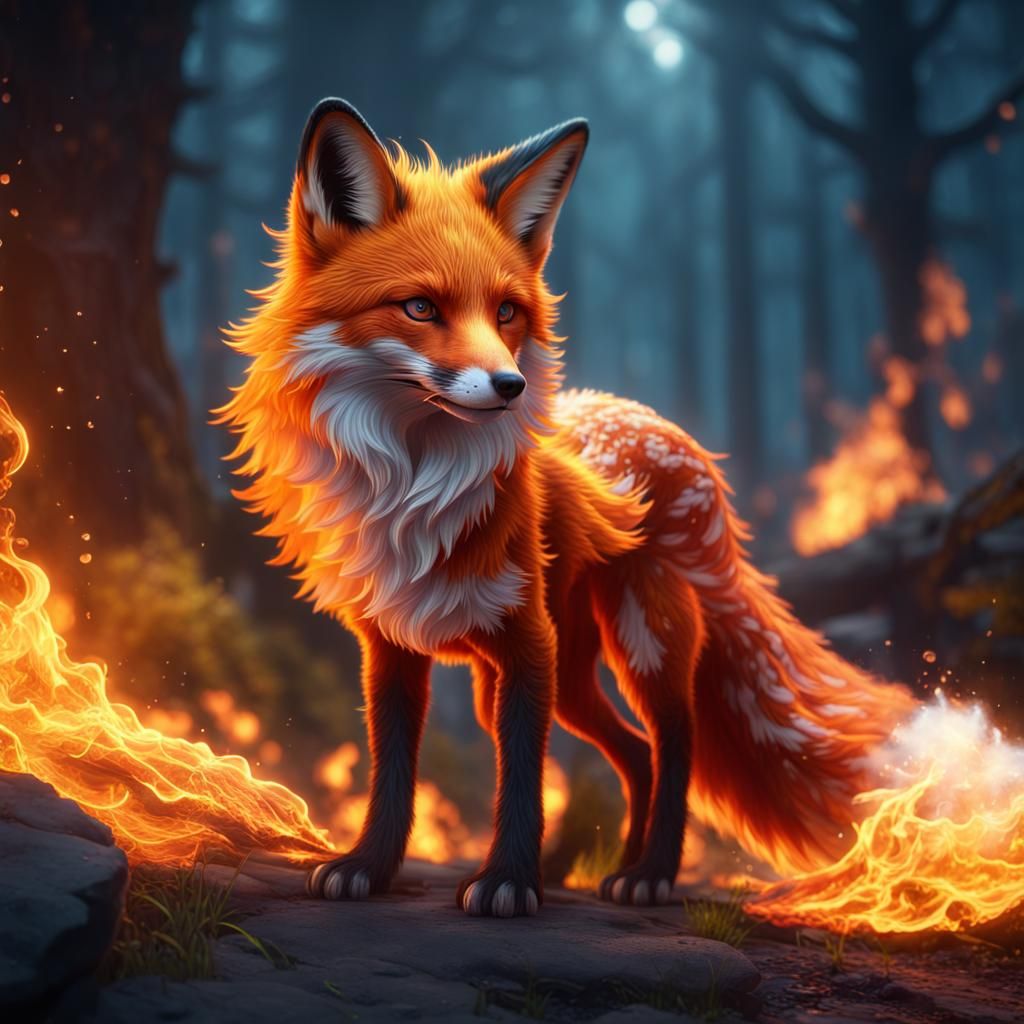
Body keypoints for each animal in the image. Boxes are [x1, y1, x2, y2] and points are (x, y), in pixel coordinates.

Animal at [219, 98, 915, 918]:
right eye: (419, 308)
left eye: (507, 312)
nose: (510, 385)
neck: (417, 490)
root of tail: (664, 427)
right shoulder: (392, 645)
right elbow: (393, 770)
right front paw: (372, 865)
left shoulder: (528, 646)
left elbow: (521, 775)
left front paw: (510, 883)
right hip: (556, 674)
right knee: (636, 755)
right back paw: (604, 866)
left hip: (640, 640)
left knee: (673, 744)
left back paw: (651, 873)